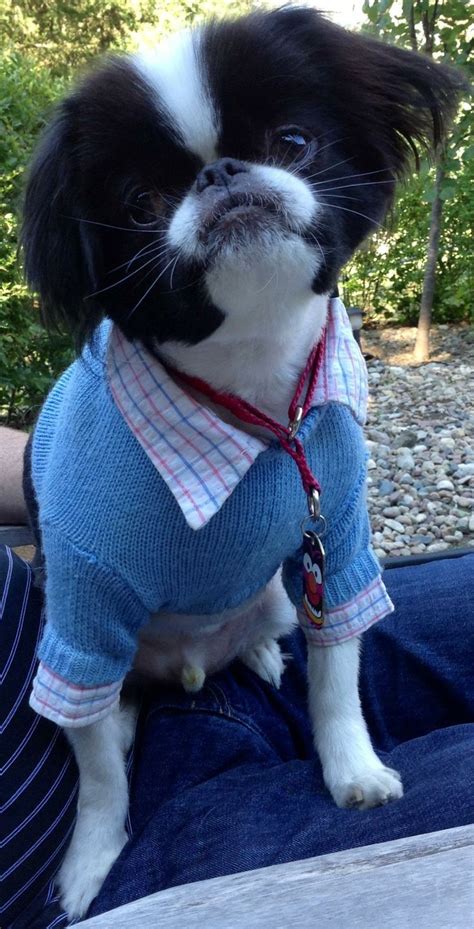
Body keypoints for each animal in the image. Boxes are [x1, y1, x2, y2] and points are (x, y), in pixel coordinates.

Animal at [21, 5, 460, 920]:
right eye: (142, 202)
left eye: (293, 141)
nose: (222, 171)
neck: (250, 392)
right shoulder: (81, 610)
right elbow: (99, 772)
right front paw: (90, 865)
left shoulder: (338, 544)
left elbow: (337, 674)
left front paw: (354, 770)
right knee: (115, 711)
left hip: (284, 595)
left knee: (270, 624)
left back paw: (256, 651)